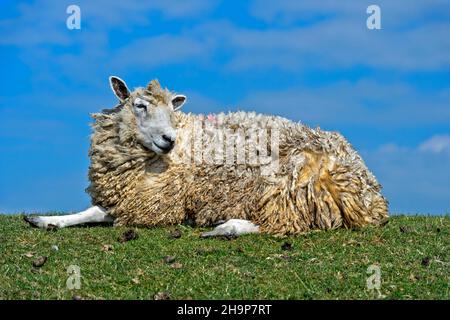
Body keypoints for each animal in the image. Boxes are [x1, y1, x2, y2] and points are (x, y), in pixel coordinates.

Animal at [24, 77, 388, 238]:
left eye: (172, 109)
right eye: (139, 105)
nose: (168, 140)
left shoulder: (157, 204)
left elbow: (102, 213)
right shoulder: (132, 196)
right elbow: (93, 211)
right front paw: (46, 220)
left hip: (287, 186)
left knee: (282, 224)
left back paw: (226, 227)